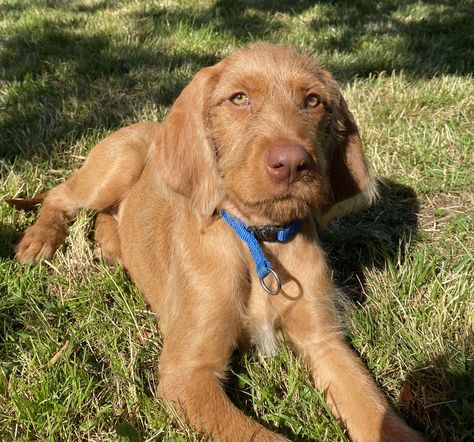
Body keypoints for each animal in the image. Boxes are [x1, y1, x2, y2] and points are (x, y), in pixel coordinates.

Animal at [12, 42, 422, 442]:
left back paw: (115, 248)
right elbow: (265, 438)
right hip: (116, 165)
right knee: (60, 196)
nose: (291, 163)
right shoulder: (187, 374)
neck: (259, 240)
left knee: (107, 216)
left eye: (312, 101)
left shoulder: (324, 341)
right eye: (239, 98)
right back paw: (39, 241)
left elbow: (373, 407)